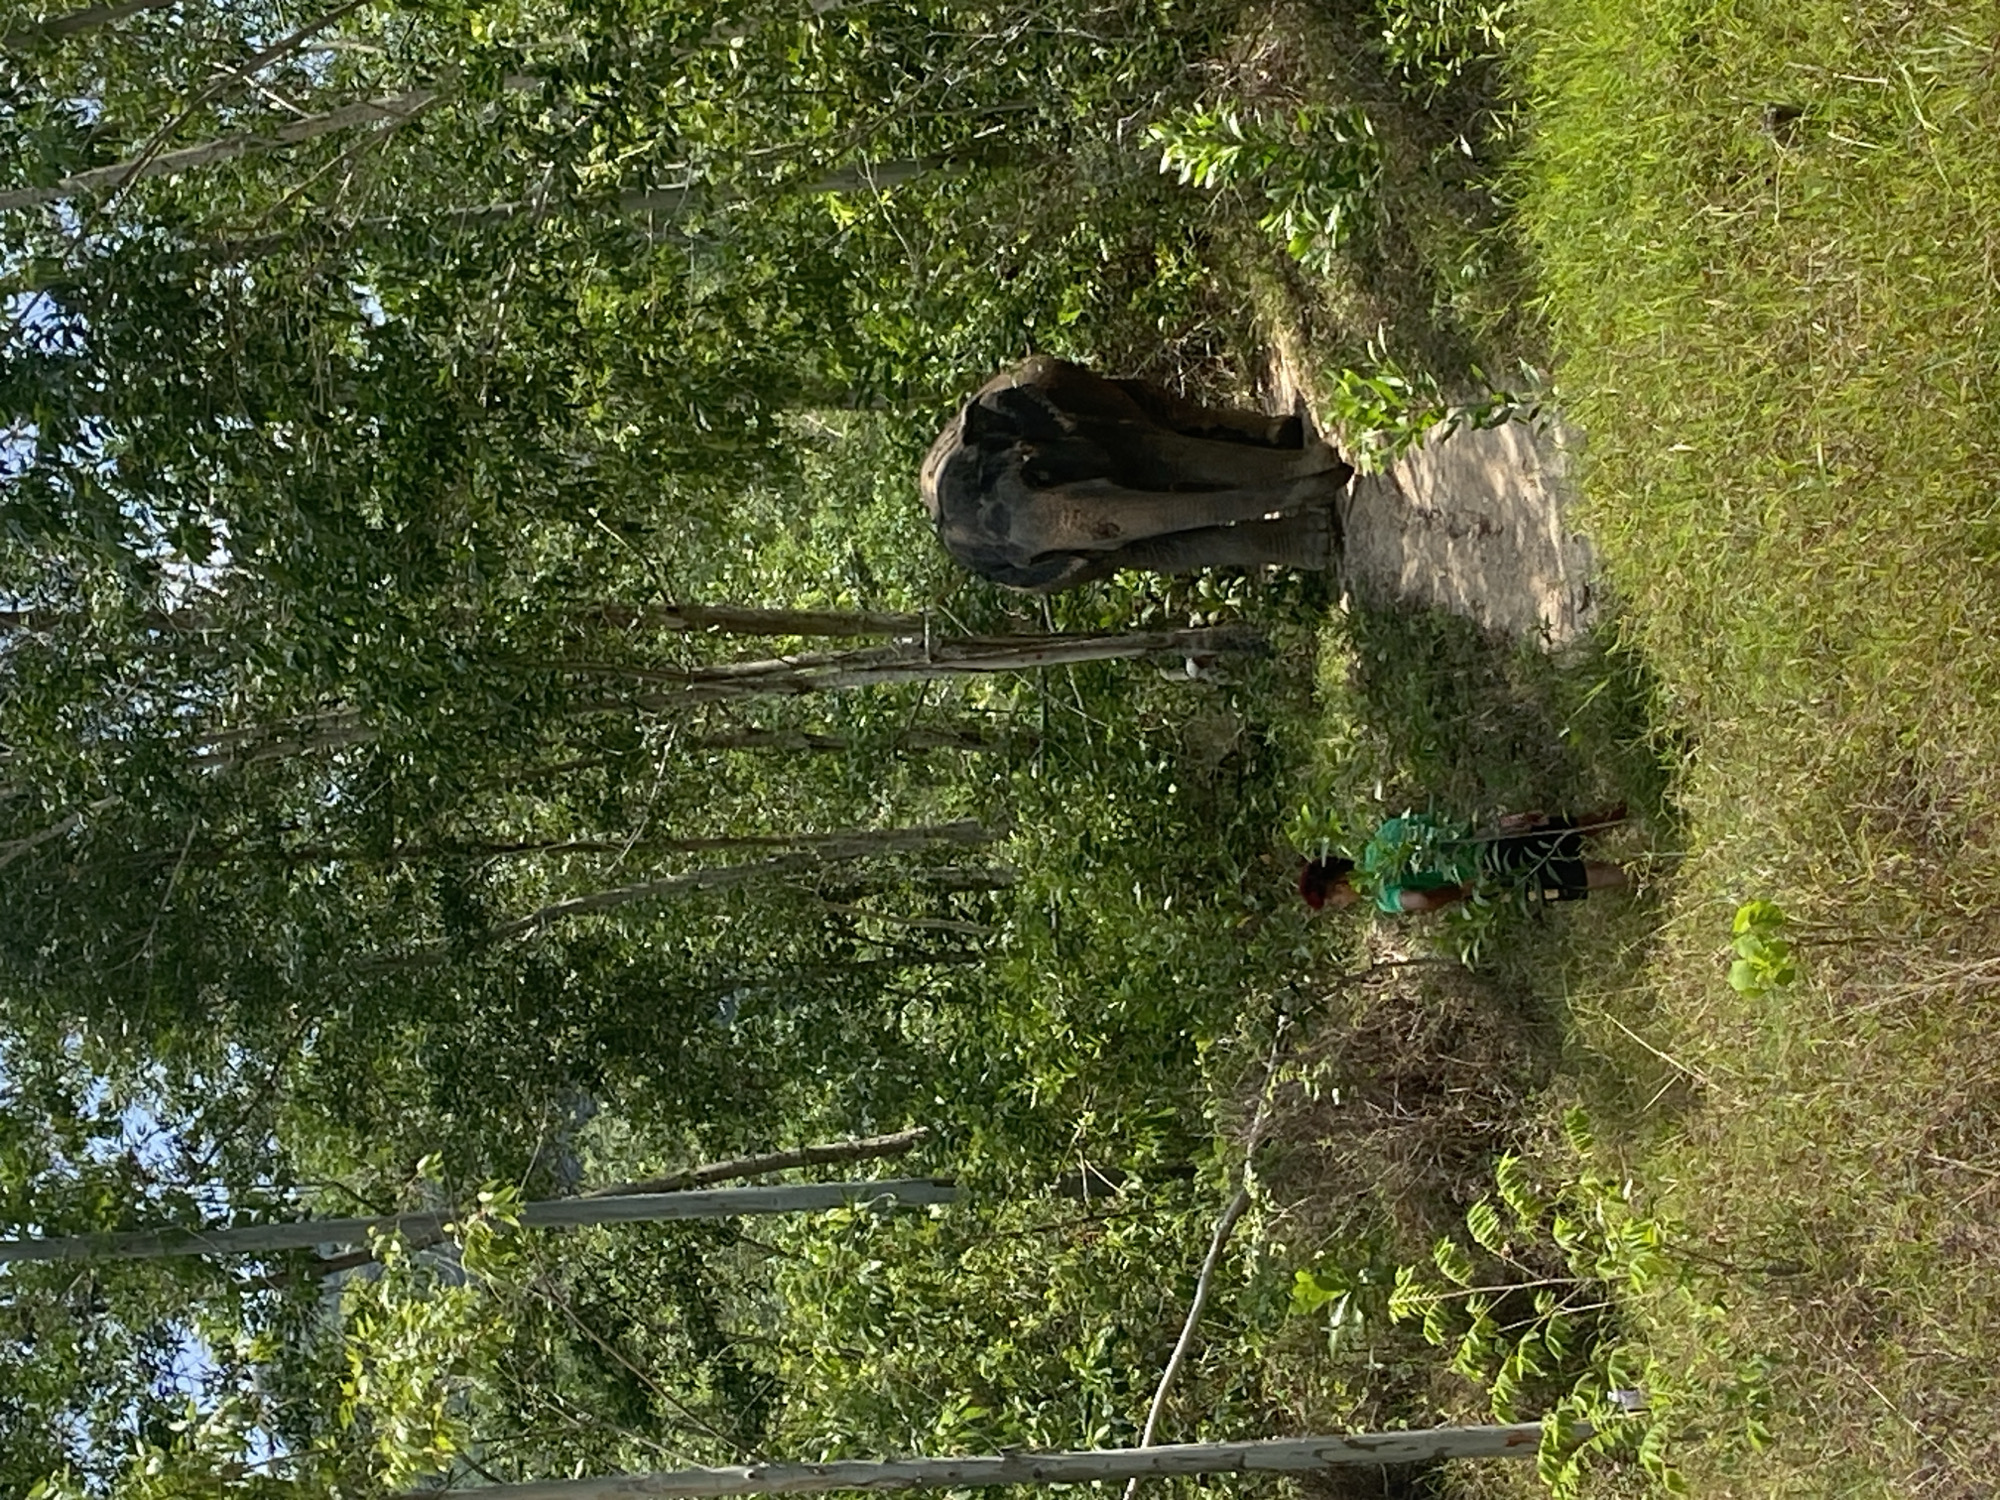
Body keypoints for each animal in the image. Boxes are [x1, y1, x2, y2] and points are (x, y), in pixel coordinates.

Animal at [919, 355, 1352, 592]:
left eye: (1038, 475)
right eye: (1038, 558)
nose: (1344, 470)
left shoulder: (1089, 427)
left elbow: (1160, 453)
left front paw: (1321, 463)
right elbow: (1172, 549)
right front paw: (1318, 537)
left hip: (1101, 383)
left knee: (1167, 410)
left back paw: (1286, 434)